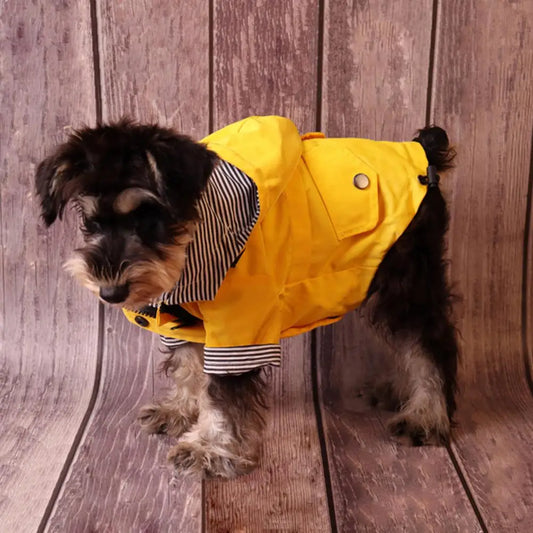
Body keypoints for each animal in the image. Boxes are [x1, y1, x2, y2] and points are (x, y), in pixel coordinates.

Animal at [34, 115, 458, 478]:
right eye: (91, 221)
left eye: (147, 217)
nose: (111, 292)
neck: (193, 246)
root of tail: (421, 148)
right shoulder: (185, 322)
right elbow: (188, 366)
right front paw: (178, 410)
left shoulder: (238, 333)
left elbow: (223, 395)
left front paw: (209, 448)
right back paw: (397, 392)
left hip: (408, 279)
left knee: (428, 340)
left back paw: (425, 414)